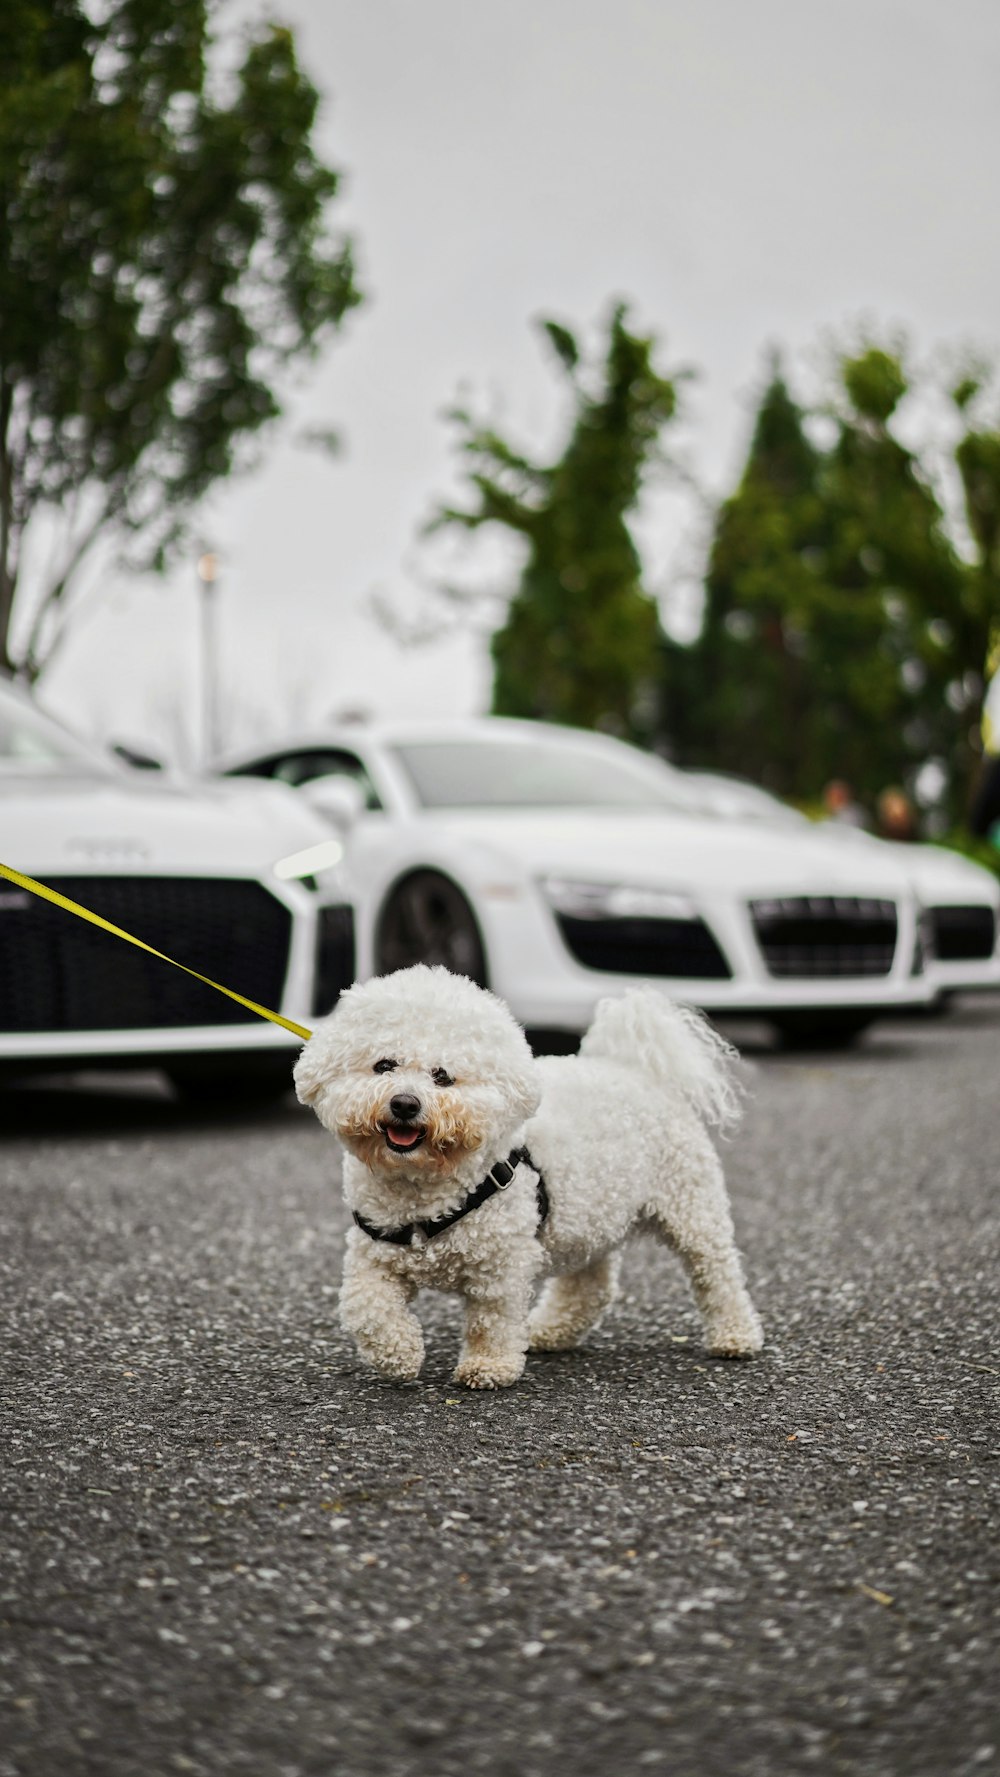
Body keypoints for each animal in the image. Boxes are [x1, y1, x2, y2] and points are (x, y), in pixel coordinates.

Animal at [293, 959, 763, 1386]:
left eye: (443, 1077)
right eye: (384, 1065)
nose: (405, 1103)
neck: (423, 1186)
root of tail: (637, 1069)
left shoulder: (500, 1265)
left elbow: (492, 1319)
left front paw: (488, 1367)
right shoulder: (373, 1255)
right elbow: (364, 1306)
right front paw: (398, 1354)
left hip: (690, 1205)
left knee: (717, 1272)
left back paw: (735, 1336)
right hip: (588, 1218)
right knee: (591, 1285)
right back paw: (550, 1331)